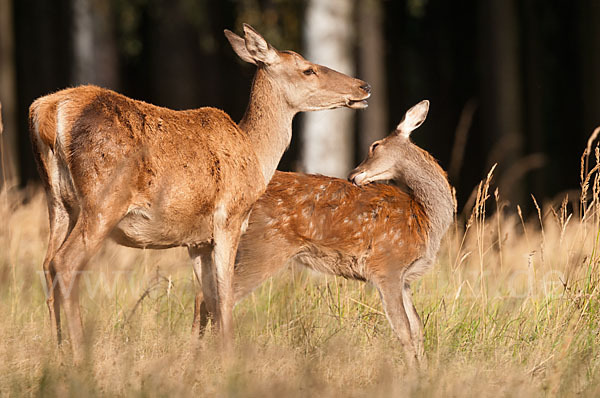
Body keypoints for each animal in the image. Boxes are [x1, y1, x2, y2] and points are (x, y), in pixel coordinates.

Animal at [30, 24, 372, 360]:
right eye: (308, 69)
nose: (363, 86)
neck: (257, 157)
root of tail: (49, 112)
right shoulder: (229, 219)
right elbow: (224, 294)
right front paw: (230, 359)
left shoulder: (197, 240)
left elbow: (207, 297)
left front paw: (199, 357)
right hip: (103, 199)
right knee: (66, 262)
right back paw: (78, 355)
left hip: (58, 201)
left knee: (47, 263)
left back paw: (56, 350)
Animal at [195, 100, 452, 364]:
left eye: (375, 145)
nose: (352, 175)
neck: (427, 219)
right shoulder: (387, 266)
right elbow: (403, 330)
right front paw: (412, 371)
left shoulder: (405, 278)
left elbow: (417, 327)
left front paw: (424, 368)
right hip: (264, 247)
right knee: (213, 299)